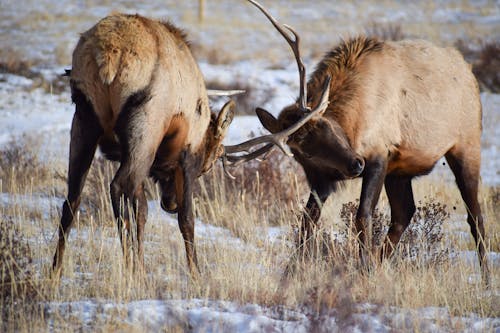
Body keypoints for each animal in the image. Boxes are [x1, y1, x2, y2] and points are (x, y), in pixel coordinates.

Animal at [51, 12, 328, 274]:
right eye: (208, 165)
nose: (169, 203)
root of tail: (109, 57)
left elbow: (143, 209)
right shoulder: (187, 154)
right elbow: (187, 220)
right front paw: (196, 274)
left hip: (85, 117)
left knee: (72, 200)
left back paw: (56, 272)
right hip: (146, 123)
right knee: (119, 186)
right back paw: (130, 271)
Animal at [248, 0, 490, 282]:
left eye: (325, 123)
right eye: (303, 152)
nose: (355, 164)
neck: (354, 122)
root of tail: (468, 70)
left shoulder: (379, 155)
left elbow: (362, 215)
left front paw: (363, 267)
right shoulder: (322, 177)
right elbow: (307, 220)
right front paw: (290, 272)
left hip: (466, 144)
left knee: (475, 216)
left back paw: (486, 278)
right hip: (400, 171)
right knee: (404, 213)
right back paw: (379, 262)